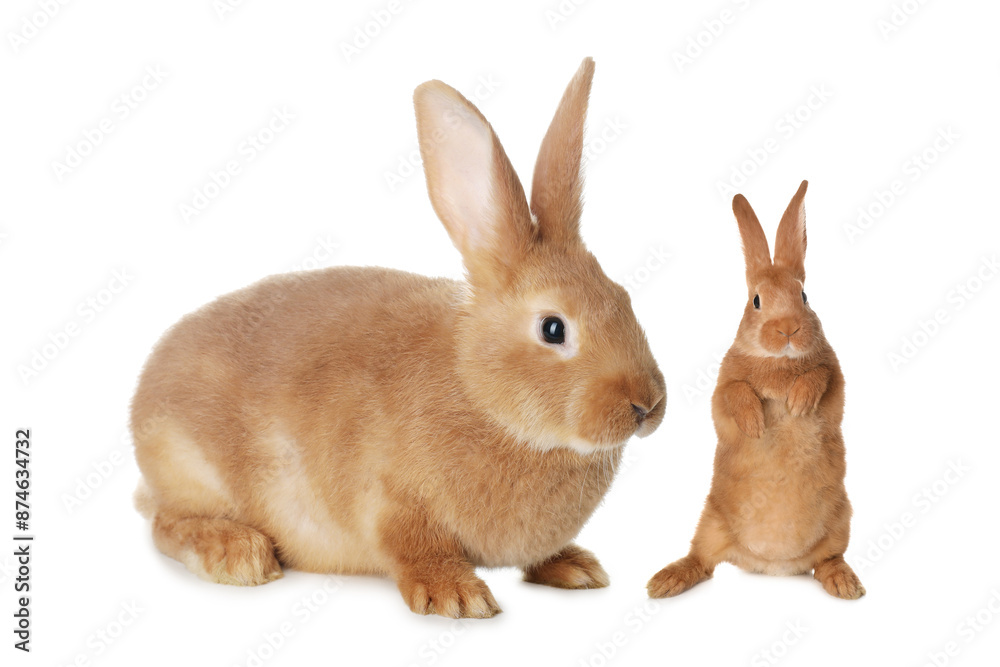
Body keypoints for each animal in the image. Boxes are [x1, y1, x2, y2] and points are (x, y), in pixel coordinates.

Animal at [131, 58, 666, 619]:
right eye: (553, 328)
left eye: (624, 297)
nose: (647, 404)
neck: (479, 393)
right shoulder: (391, 501)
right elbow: (413, 547)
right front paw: (458, 596)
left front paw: (574, 567)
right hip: (188, 466)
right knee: (164, 524)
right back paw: (237, 554)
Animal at [646, 181, 864, 600]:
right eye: (757, 300)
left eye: (804, 296)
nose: (788, 329)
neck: (778, 361)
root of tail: (772, 565)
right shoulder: (722, 388)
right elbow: (734, 394)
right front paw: (755, 424)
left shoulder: (835, 379)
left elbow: (820, 377)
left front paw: (798, 403)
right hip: (710, 522)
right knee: (701, 559)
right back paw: (664, 582)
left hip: (841, 521)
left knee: (829, 560)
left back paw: (845, 584)